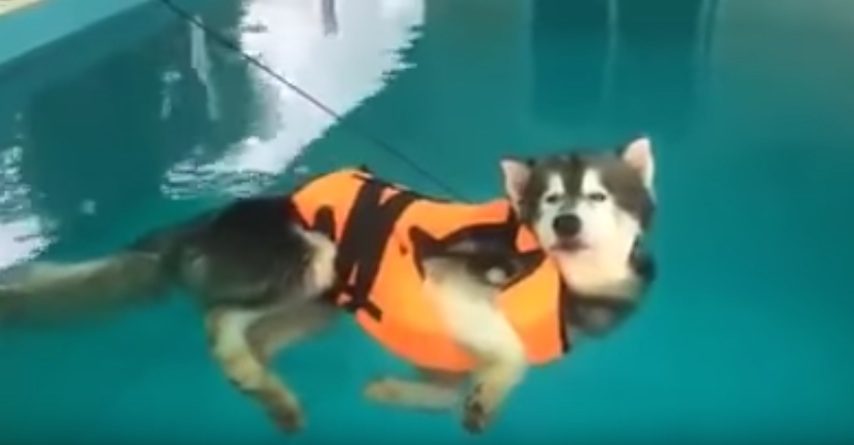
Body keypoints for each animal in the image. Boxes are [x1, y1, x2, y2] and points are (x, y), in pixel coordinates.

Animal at [0, 136, 660, 434]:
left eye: (597, 197)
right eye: (549, 201)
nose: (566, 223)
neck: (567, 280)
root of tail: (218, 216)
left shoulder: (444, 350)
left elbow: (444, 390)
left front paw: (391, 393)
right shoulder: (452, 275)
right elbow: (511, 353)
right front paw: (486, 397)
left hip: (320, 304)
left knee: (252, 333)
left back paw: (267, 391)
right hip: (314, 257)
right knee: (219, 318)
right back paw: (249, 373)